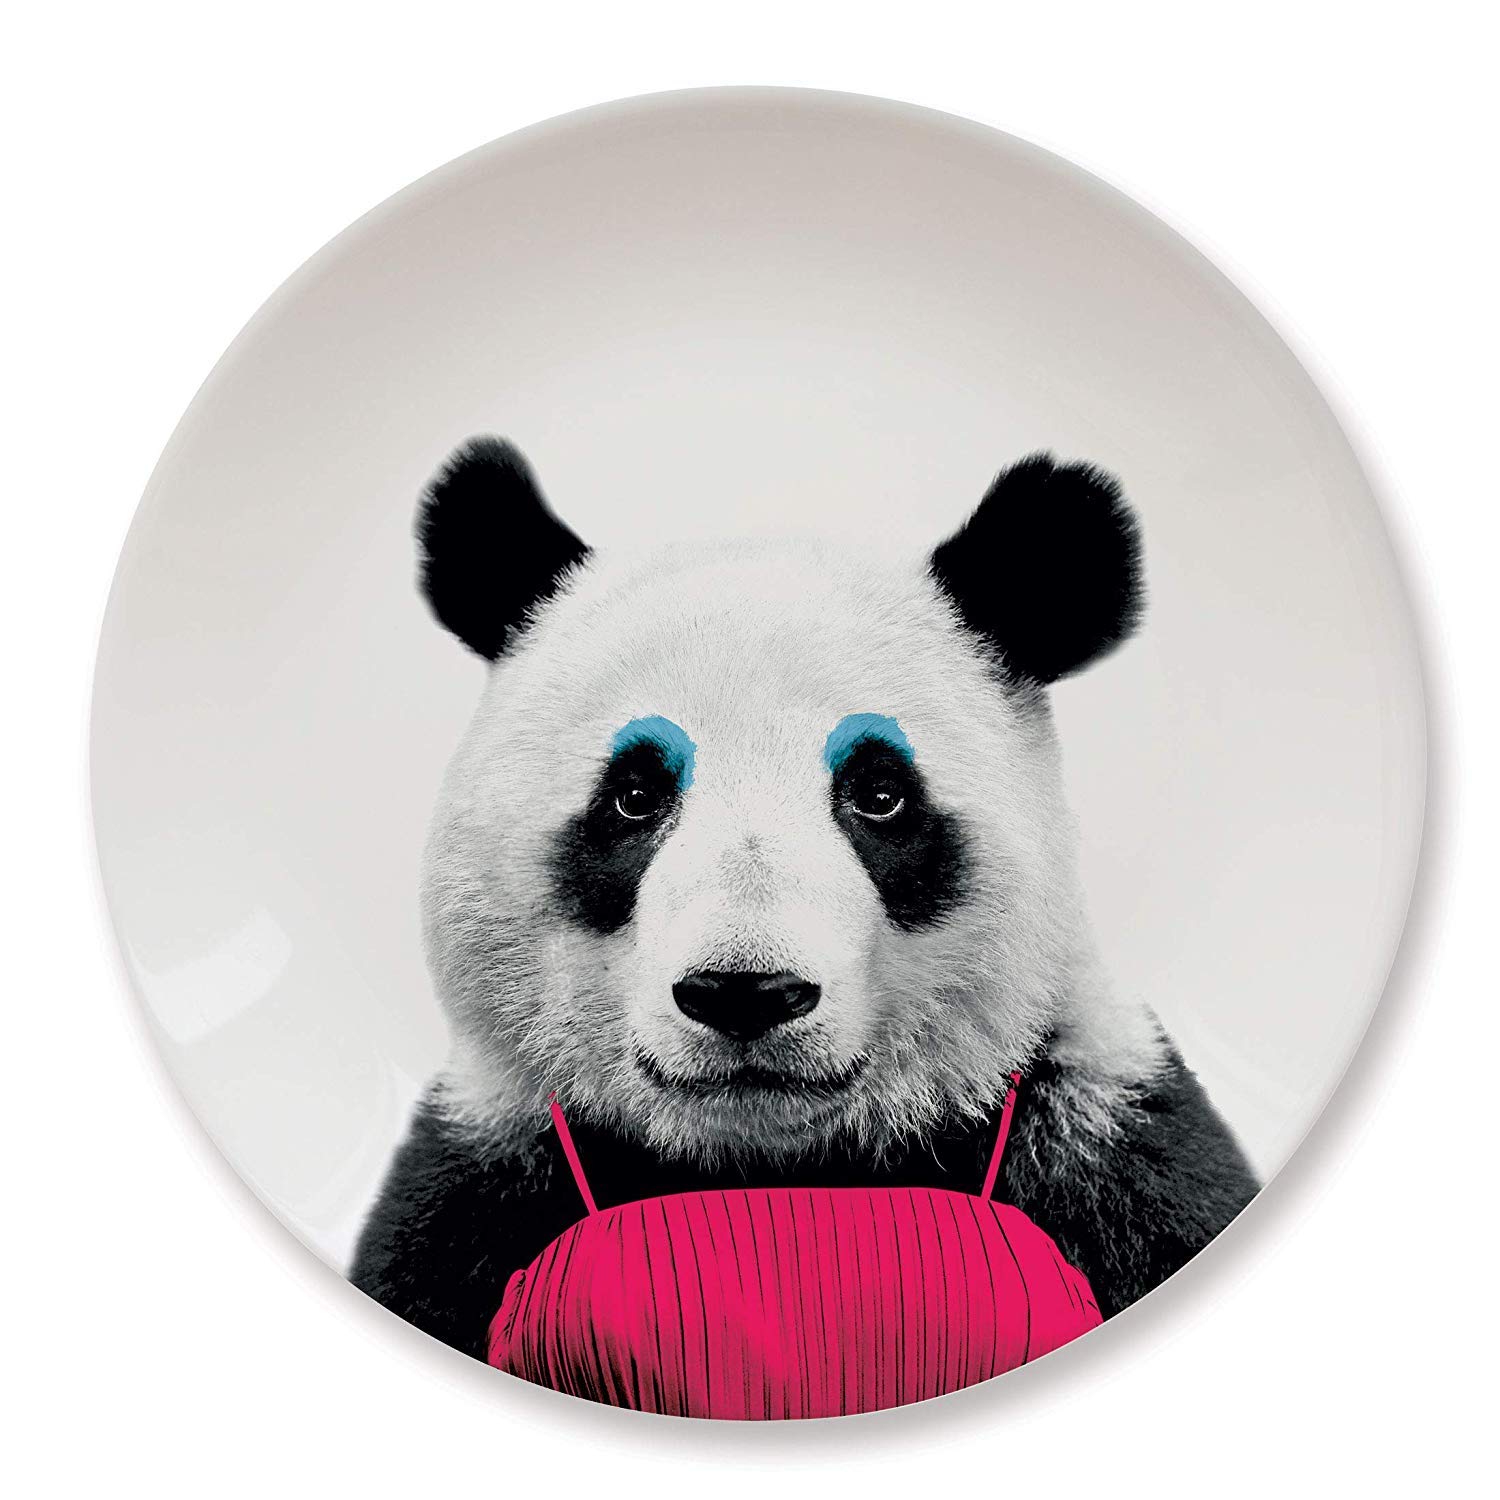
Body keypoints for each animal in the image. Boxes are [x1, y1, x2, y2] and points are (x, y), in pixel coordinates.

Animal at [351, 437, 1259, 1368]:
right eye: (634, 796)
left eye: (880, 794)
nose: (745, 993)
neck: (783, 1163)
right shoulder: (485, 1189)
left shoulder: (1098, 1149)